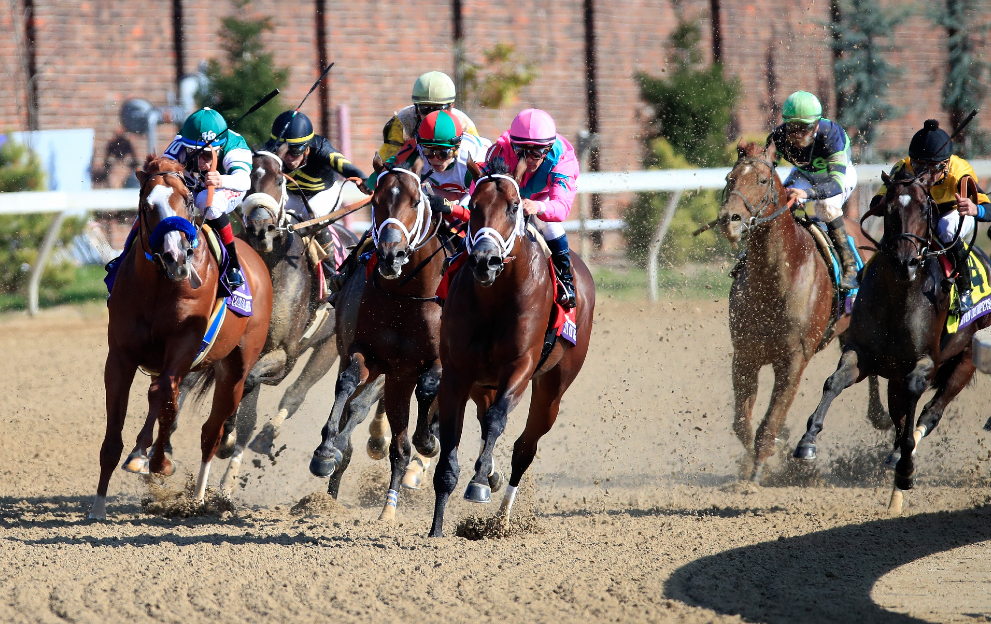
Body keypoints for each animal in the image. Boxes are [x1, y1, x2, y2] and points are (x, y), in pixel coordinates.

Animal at [90, 156, 273, 519]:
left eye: (188, 201)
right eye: (147, 206)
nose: (176, 257)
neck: (160, 285)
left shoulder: (184, 344)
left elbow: (164, 397)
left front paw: (154, 461)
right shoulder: (119, 356)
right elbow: (116, 429)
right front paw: (98, 505)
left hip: (236, 370)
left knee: (211, 432)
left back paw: (199, 497)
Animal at [309, 154, 451, 520]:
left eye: (416, 201)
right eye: (376, 200)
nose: (390, 255)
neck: (406, 297)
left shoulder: (434, 362)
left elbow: (429, 387)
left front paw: (427, 440)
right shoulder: (366, 352)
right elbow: (347, 383)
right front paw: (325, 452)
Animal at [428, 158, 595, 538]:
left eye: (515, 206)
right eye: (473, 206)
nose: (484, 260)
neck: (495, 297)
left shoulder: (520, 367)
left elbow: (495, 421)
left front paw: (477, 485)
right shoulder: (457, 374)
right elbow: (449, 444)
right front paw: (436, 529)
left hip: (554, 386)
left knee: (524, 447)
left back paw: (502, 518)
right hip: (482, 383)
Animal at [718, 140, 887, 482]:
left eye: (762, 181)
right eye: (730, 178)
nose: (730, 219)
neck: (775, 280)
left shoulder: (794, 359)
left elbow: (768, 422)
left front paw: (755, 476)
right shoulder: (745, 355)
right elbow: (742, 423)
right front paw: (761, 460)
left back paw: (880, 417)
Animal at [793, 167, 991, 512]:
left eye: (925, 209)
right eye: (887, 209)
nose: (905, 261)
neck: (899, 297)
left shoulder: (923, 363)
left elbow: (913, 404)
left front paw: (906, 468)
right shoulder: (862, 354)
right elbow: (833, 382)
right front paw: (808, 442)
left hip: (966, 358)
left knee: (931, 413)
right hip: (896, 376)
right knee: (901, 416)